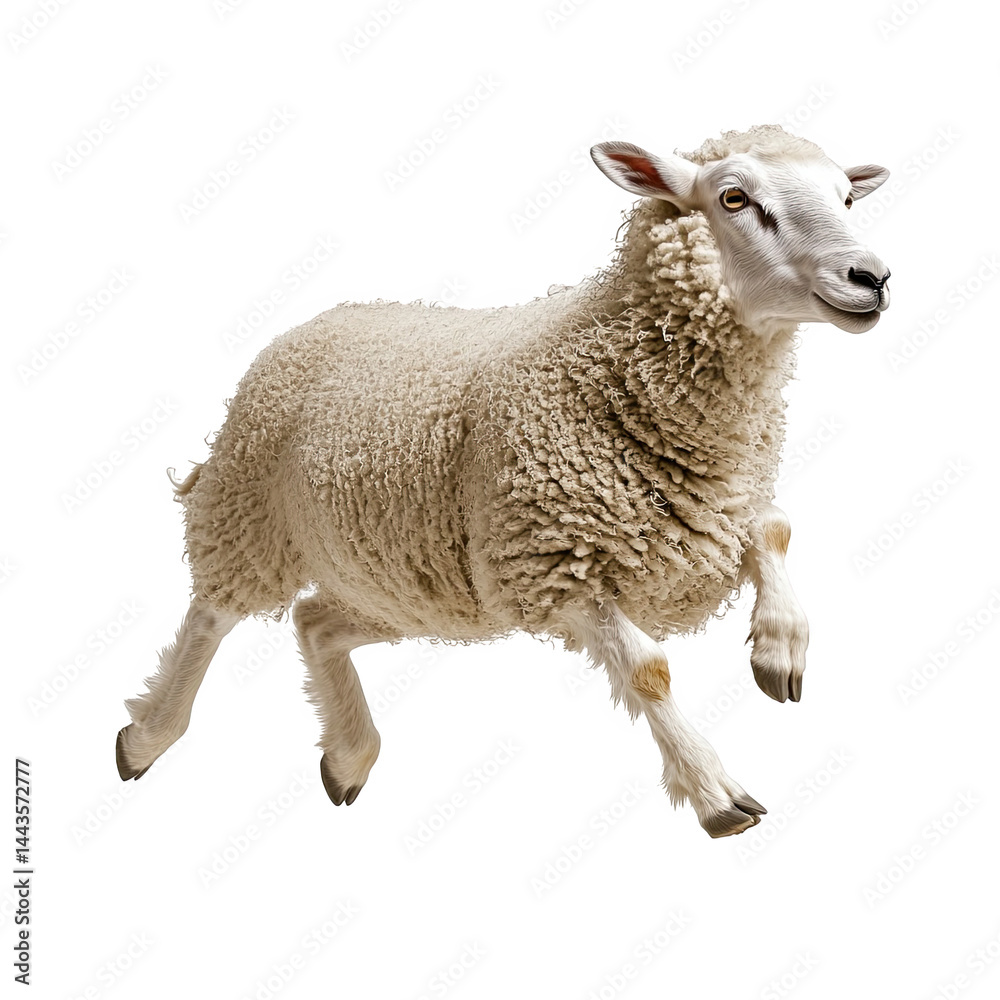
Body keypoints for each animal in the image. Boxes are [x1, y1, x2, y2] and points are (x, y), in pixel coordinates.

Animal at [116, 124, 891, 838]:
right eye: (734, 197)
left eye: (848, 197)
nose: (873, 278)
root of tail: (317, 320)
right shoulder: (557, 564)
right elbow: (650, 671)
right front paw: (714, 790)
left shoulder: (712, 513)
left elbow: (776, 528)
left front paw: (780, 647)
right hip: (248, 509)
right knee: (211, 616)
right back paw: (146, 737)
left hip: (408, 582)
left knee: (315, 622)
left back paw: (347, 755)